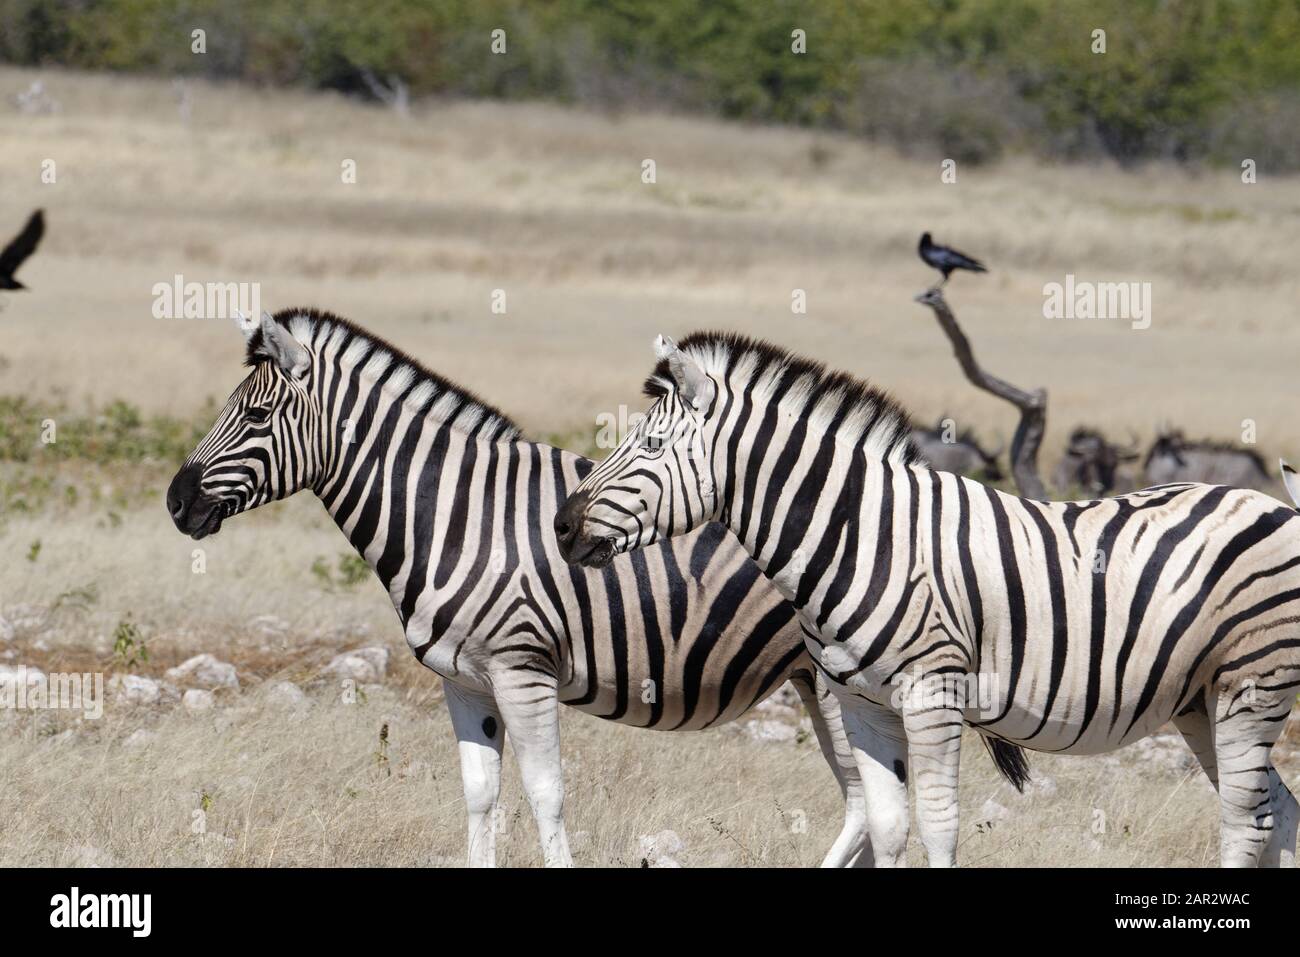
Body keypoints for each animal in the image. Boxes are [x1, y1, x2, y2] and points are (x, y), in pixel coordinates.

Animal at [165, 312, 883, 868]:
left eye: (257, 413)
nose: (175, 501)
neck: (453, 515)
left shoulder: (522, 669)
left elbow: (546, 795)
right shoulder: (464, 681)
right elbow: (481, 796)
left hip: (839, 684)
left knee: (865, 804)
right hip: (816, 683)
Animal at [556, 332, 1300, 868]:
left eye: (651, 444)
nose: (562, 525)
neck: (859, 535)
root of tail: (1275, 503)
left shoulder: (933, 696)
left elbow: (939, 829)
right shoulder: (864, 706)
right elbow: (888, 828)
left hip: (1251, 684)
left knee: (1248, 821)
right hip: (1200, 700)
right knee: (1281, 817)